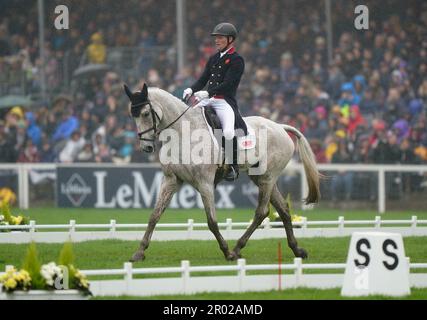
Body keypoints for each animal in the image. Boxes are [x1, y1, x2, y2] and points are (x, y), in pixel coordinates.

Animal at [123, 84, 320, 262]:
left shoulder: (205, 183)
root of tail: (280, 127)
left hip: (267, 177)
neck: (182, 133)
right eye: (132, 116)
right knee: (283, 209)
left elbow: (212, 221)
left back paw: (237, 248)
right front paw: (139, 252)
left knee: (262, 212)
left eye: (145, 114)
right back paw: (297, 249)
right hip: (260, 177)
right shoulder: (171, 180)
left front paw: (227, 252)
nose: (146, 147)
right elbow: (154, 216)